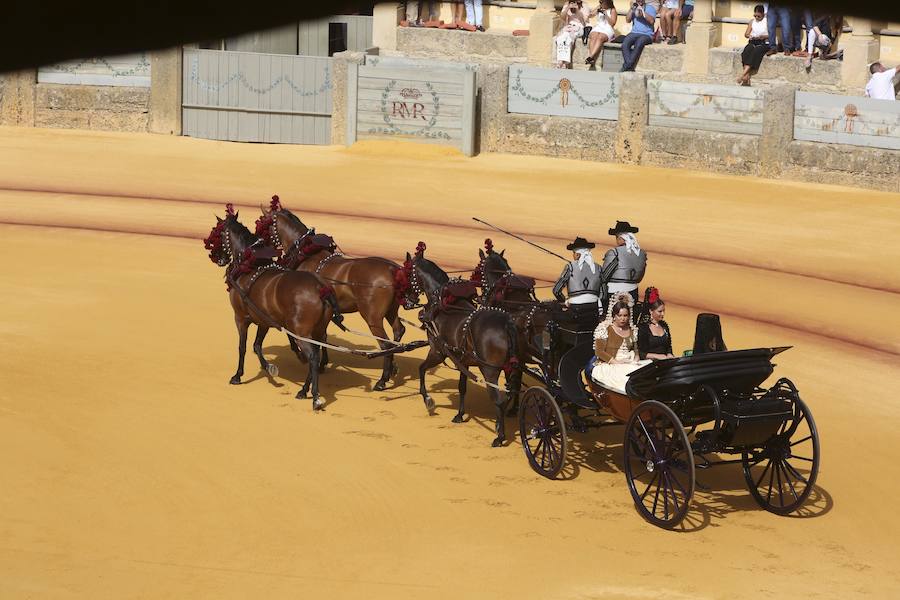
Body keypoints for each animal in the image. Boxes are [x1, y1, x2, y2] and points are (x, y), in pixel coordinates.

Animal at [204, 204, 342, 410]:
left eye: (217, 232)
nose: (218, 258)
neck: (250, 264)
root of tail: (320, 288)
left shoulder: (240, 318)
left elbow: (243, 346)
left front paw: (238, 375)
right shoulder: (264, 321)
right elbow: (257, 346)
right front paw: (269, 367)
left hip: (301, 333)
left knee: (312, 357)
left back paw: (315, 396)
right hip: (317, 331)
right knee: (315, 355)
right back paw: (304, 391)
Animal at [255, 197, 406, 392]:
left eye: (262, 224)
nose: (257, 245)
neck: (305, 254)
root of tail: (392, 268)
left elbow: (300, 335)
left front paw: (304, 356)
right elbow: (322, 337)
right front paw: (321, 364)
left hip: (373, 317)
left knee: (385, 343)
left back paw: (382, 380)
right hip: (390, 311)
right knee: (398, 332)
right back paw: (393, 368)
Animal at [400, 243, 520, 446]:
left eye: (407, 273)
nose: (407, 301)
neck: (441, 302)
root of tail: (505, 324)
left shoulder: (437, 351)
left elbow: (421, 369)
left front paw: (428, 400)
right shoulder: (462, 360)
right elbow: (462, 387)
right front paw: (459, 414)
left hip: (489, 370)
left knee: (500, 399)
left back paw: (500, 436)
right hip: (510, 368)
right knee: (511, 392)